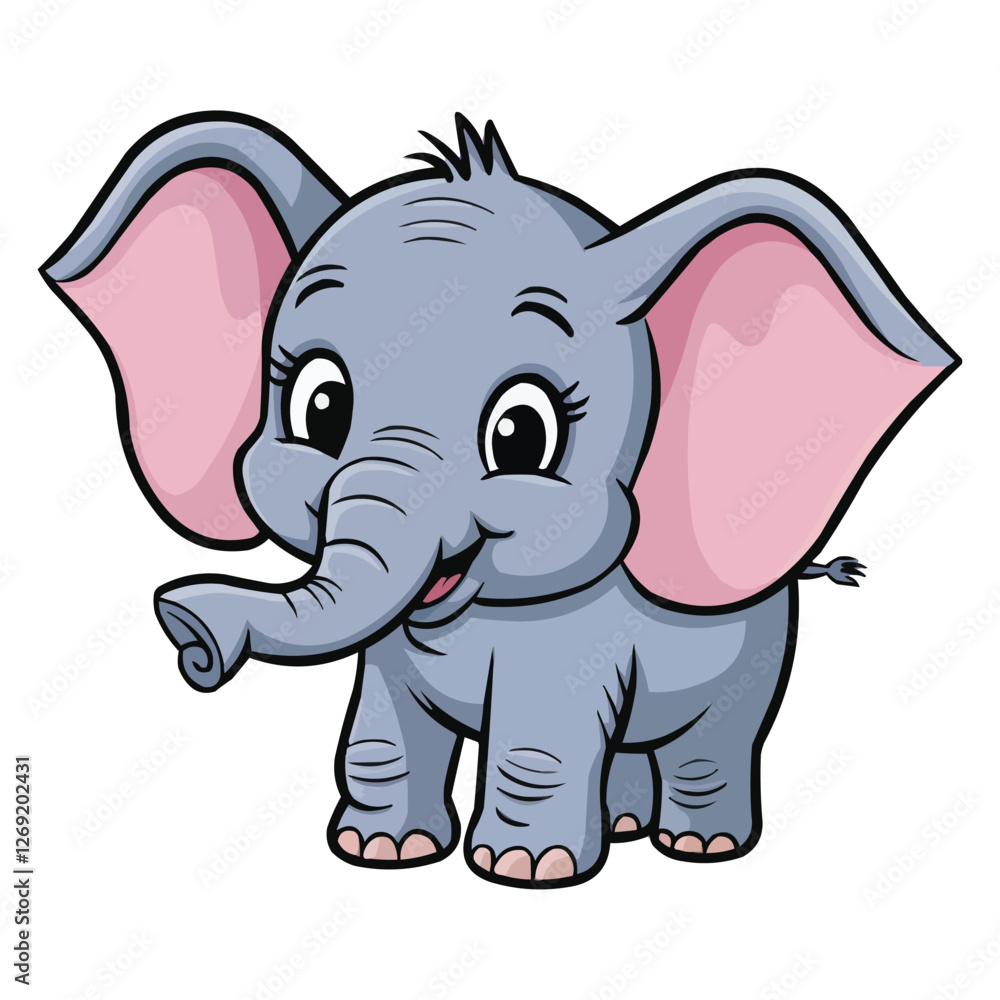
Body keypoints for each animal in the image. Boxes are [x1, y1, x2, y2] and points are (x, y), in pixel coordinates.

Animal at [41, 112, 958, 887]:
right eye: (319, 408)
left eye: (521, 434)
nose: (188, 633)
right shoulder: (392, 645)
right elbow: (379, 729)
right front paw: (380, 852)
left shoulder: (574, 642)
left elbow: (539, 736)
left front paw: (524, 872)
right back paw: (623, 828)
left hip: (760, 648)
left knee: (715, 741)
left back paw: (700, 845)